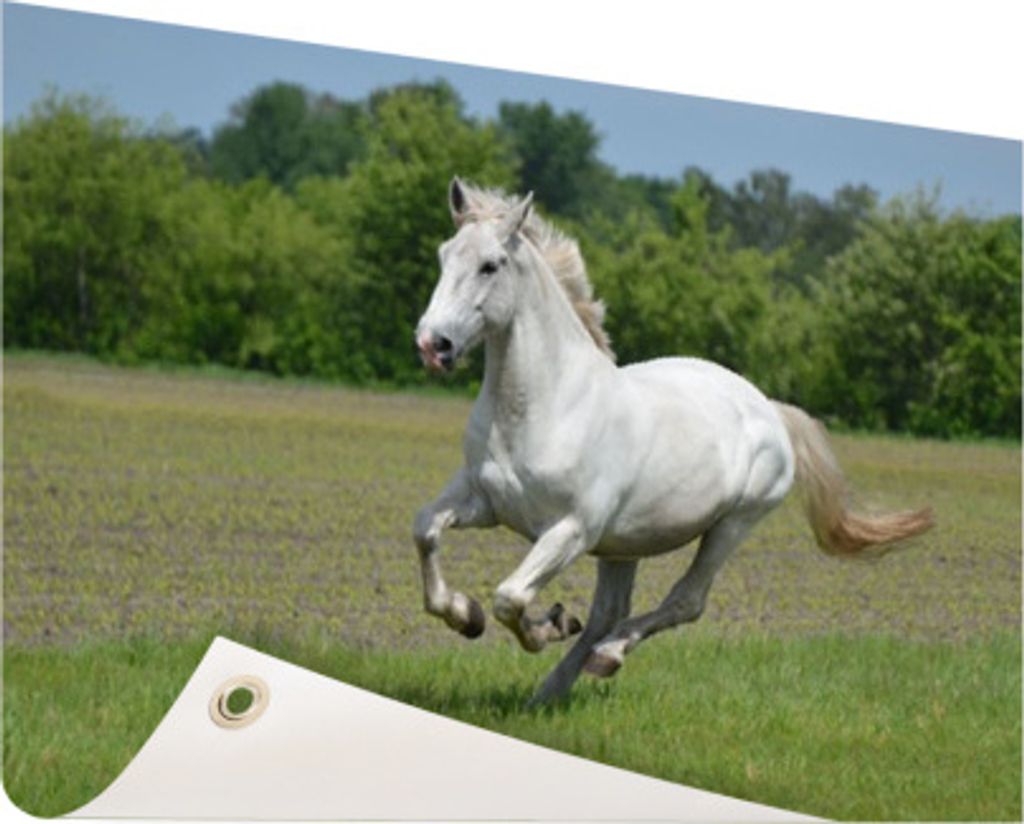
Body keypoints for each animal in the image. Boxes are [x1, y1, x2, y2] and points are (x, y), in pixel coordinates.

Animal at [412, 178, 933, 705]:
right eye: (443, 255)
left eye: (490, 265)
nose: (433, 344)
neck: (543, 408)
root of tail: (768, 407)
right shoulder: (483, 502)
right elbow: (426, 530)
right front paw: (466, 616)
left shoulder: (571, 530)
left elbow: (510, 597)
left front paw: (543, 626)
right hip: (623, 544)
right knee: (609, 612)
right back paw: (551, 691)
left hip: (732, 524)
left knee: (684, 601)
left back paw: (607, 655)